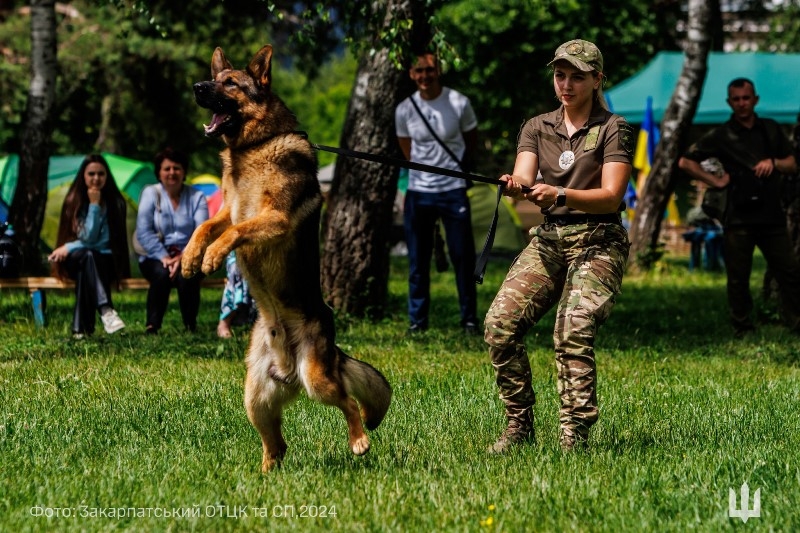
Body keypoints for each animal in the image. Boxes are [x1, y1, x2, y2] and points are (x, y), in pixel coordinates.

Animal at [184, 44, 390, 470]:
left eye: (230, 83)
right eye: (213, 78)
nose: (197, 86)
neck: (254, 147)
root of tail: (288, 370)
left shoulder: (272, 218)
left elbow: (232, 233)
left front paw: (211, 257)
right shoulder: (227, 210)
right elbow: (206, 227)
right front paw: (190, 258)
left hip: (318, 380)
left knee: (348, 403)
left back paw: (359, 441)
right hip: (256, 400)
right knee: (276, 445)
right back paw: (264, 476)